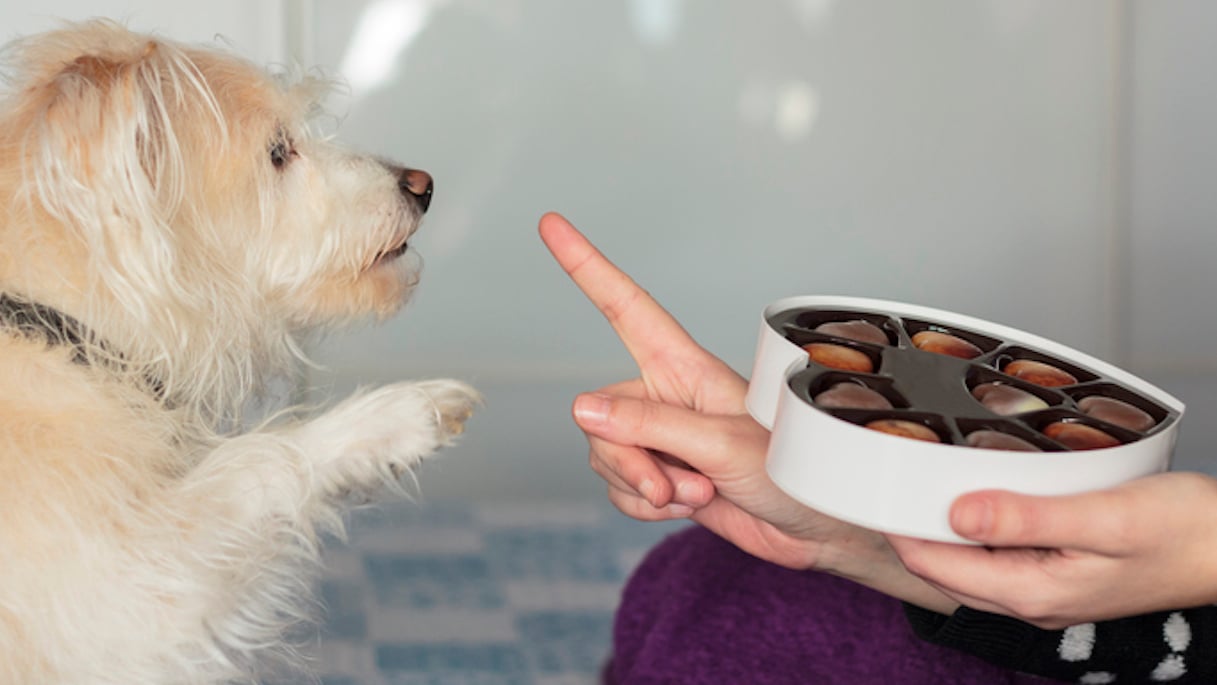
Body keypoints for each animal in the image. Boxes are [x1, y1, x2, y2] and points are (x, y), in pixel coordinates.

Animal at [0, 18, 481, 681]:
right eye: (278, 152)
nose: (423, 185)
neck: (63, 329)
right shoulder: (128, 601)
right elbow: (257, 460)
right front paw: (396, 416)